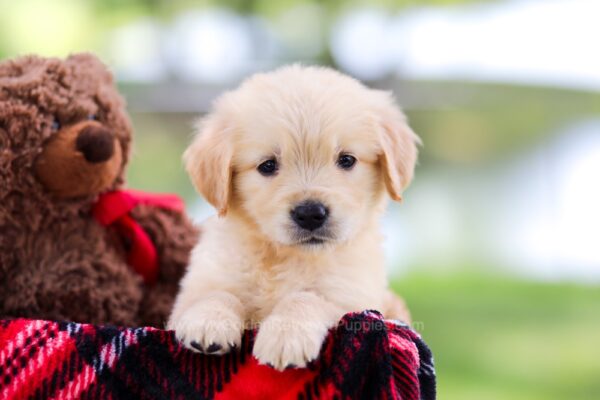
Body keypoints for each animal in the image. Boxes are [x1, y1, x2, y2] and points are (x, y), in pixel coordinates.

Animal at [166, 65, 420, 368]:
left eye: (346, 160)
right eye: (267, 165)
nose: (310, 214)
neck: (286, 255)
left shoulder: (351, 296)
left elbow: (307, 297)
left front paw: (286, 335)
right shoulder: (203, 280)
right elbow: (216, 292)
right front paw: (208, 320)